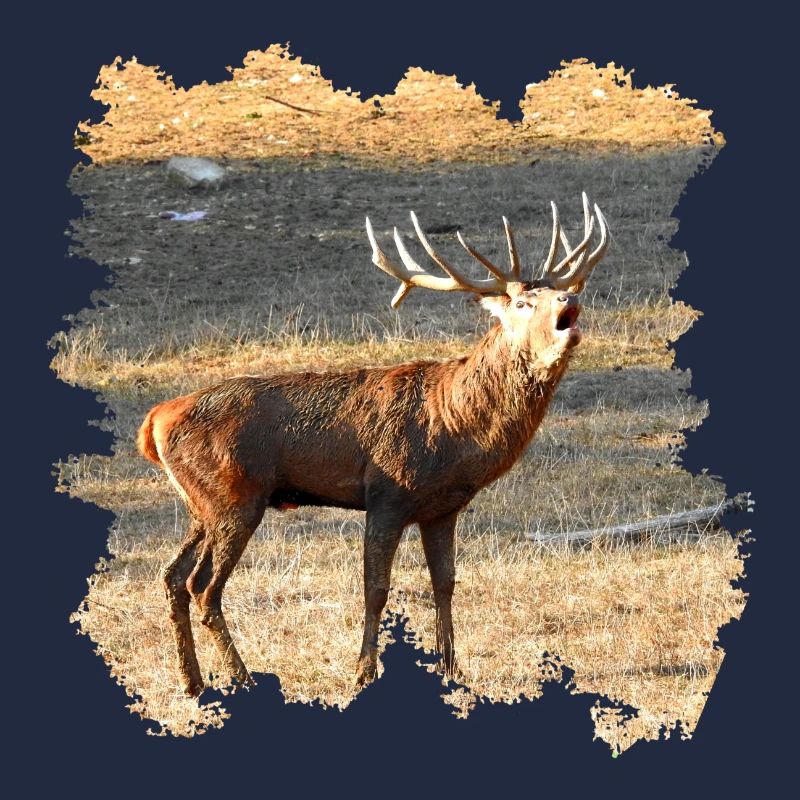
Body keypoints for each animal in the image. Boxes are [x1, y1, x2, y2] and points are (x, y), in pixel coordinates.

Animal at [137, 193, 609, 697]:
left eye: (554, 291)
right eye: (522, 301)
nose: (570, 297)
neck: (455, 428)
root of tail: (154, 421)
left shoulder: (443, 508)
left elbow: (445, 583)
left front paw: (452, 669)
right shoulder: (387, 494)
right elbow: (376, 587)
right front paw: (364, 672)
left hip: (202, 503)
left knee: (172, 576)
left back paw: (192, 682)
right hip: (234, 496)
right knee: (203, 587)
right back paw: (242, 678)